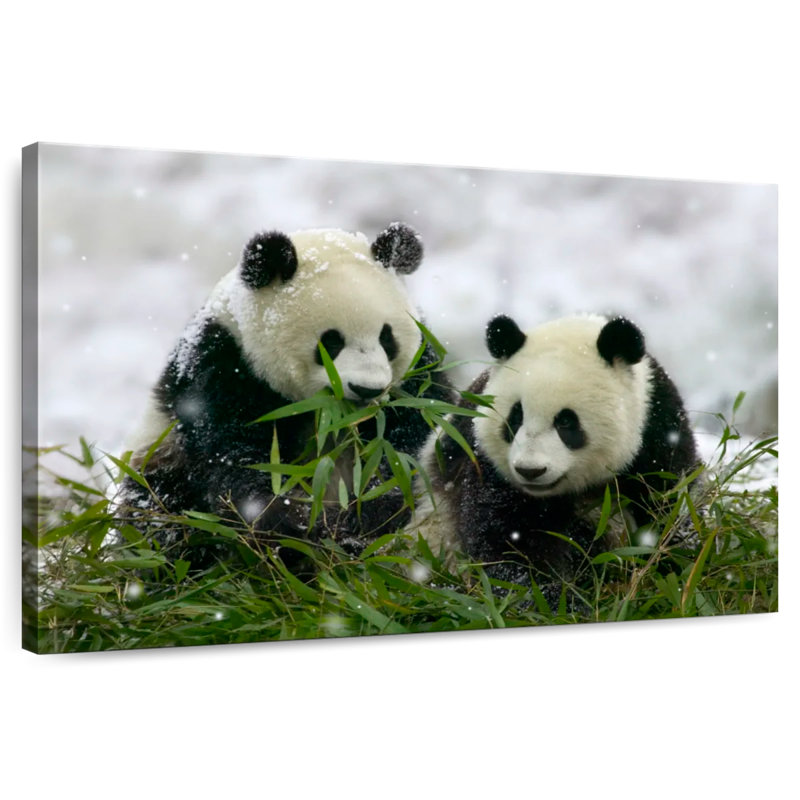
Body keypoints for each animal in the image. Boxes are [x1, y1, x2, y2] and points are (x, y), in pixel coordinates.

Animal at [119, 222, 453, 565]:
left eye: (387, 338)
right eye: (331, 342)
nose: (367, 388)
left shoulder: (416, 377)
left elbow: (409, 444)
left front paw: (363, 517)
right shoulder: (222, 368)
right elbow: (238, 459)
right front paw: (295, 528)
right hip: (161, 458)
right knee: (160, 516)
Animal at [411, 312, 700, 603]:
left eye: (566, 422)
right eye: (515, 417)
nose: (530, 470)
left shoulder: (658, 430)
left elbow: (668, 506)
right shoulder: (484, 461)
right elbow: (511, 539)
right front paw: (557, 599)